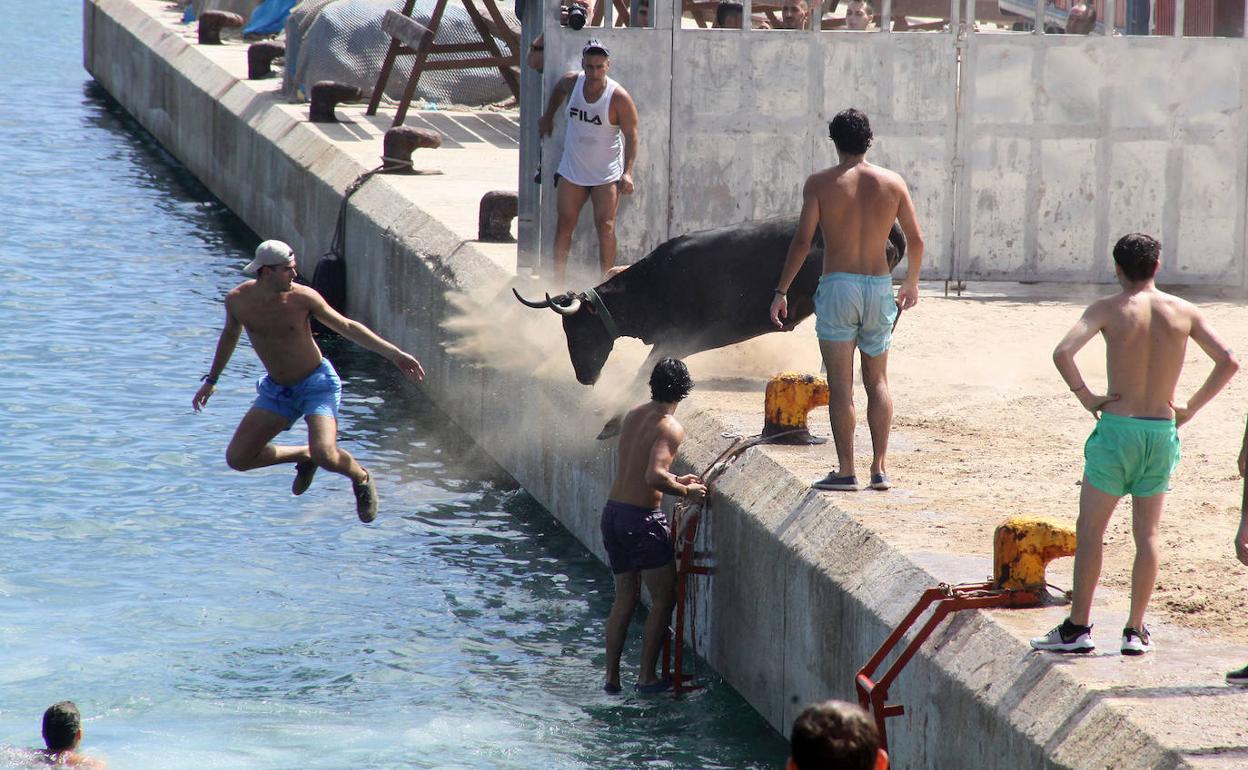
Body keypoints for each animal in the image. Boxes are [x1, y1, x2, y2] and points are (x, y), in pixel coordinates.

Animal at [511, 213, 903, 434]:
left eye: (578, 330)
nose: (583, 378)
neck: (653, 283)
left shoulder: (674, 338)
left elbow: (642, 374)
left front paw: (612, 422)